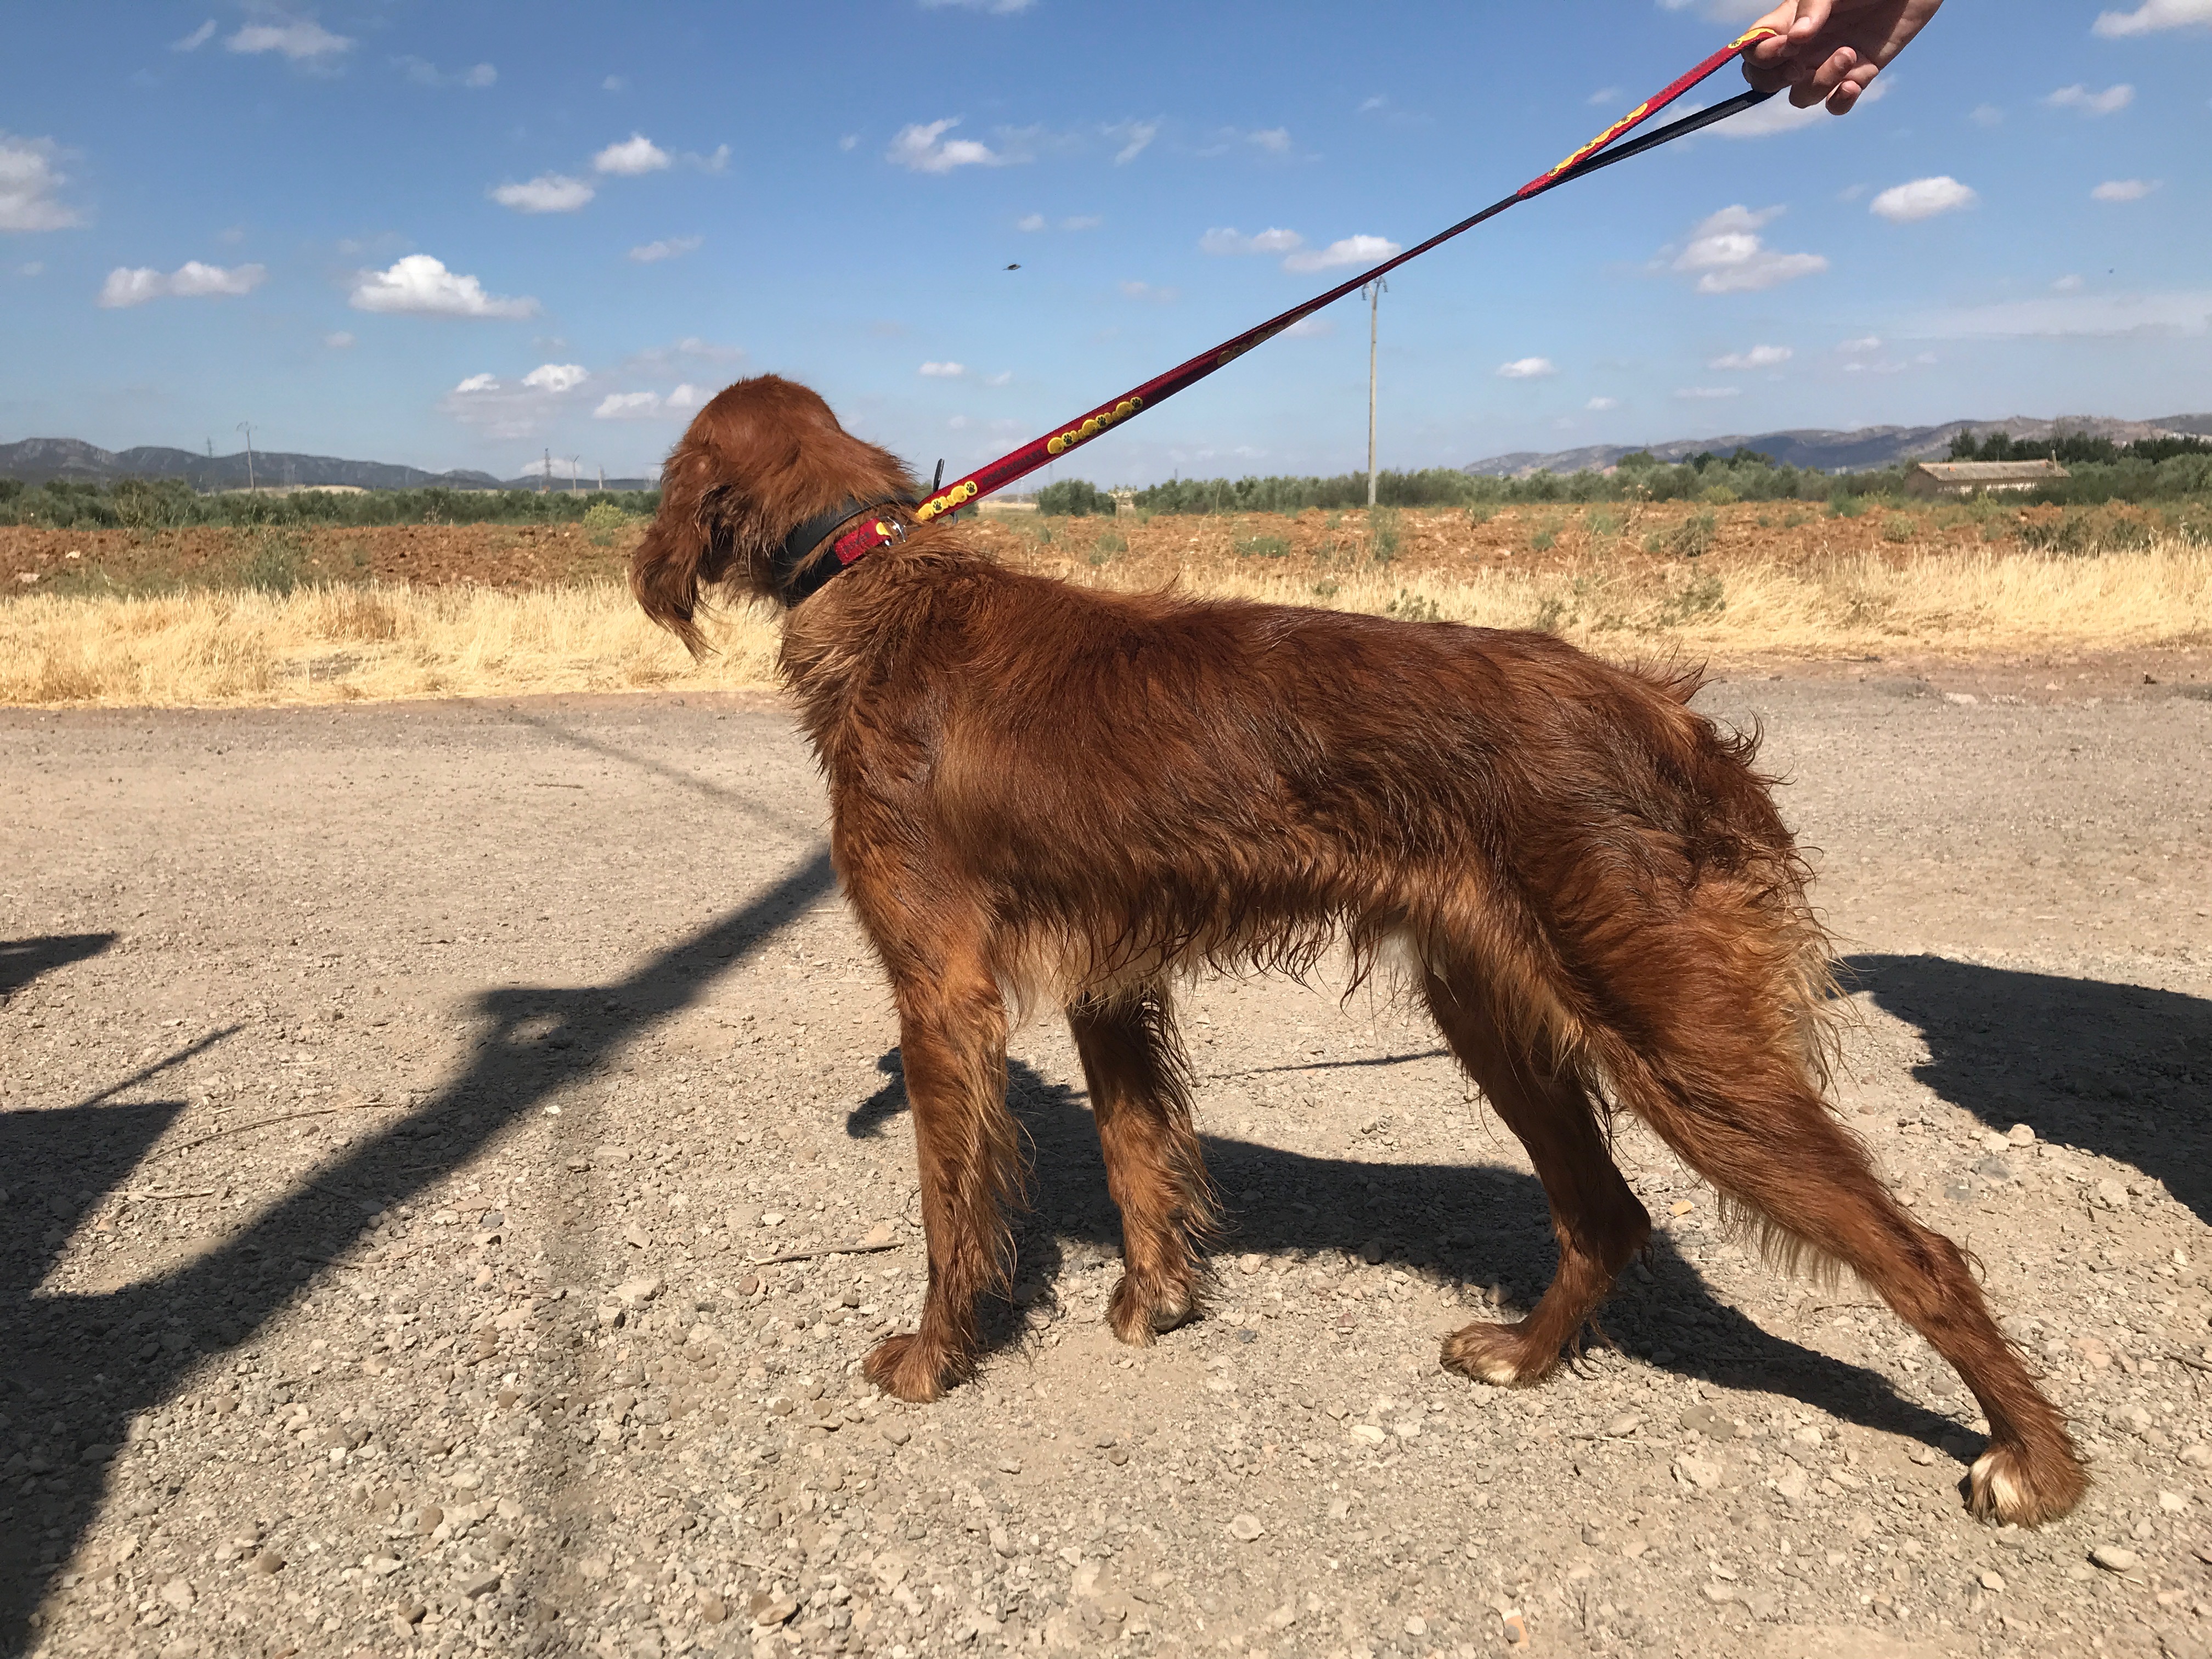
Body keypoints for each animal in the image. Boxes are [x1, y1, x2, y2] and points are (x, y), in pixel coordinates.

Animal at [630, 374, 2086, 1526]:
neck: (873, 569)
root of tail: (1655, 716)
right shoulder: (1110, 978)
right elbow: (1138, 1155)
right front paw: (1155, 1303)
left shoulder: (942, 995)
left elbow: (952, 1211)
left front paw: (935, 1361)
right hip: (1498, 1008)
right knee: (1607, 1214)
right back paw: (1524, 1358)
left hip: (1676, 1042)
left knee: (1923, 1256)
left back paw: (2037, 1465)